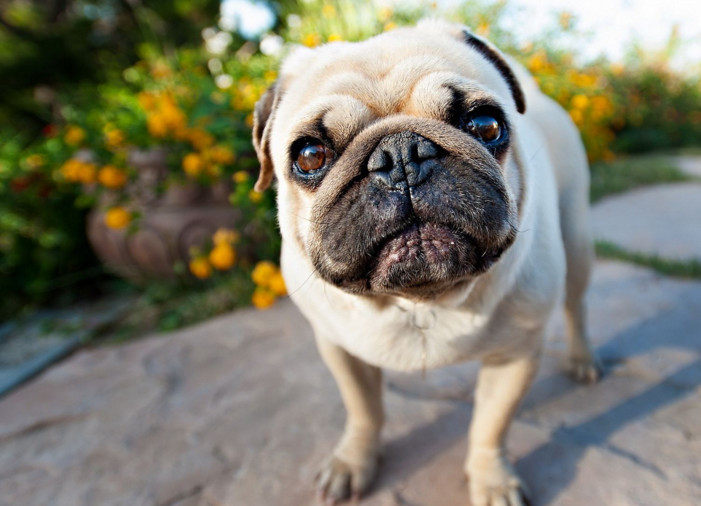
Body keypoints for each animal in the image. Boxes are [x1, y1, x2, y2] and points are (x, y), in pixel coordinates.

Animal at [250, 18, 596, 506]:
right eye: (309, 155)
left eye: (486, 125)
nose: (400, 155)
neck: (421, 300)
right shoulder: (340, 350)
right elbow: (364, 410)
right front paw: (353, 462)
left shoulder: (515, 356)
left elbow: (490, 427)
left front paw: (492, 480)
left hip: (577, 237)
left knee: (576, 304)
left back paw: (582, 358)